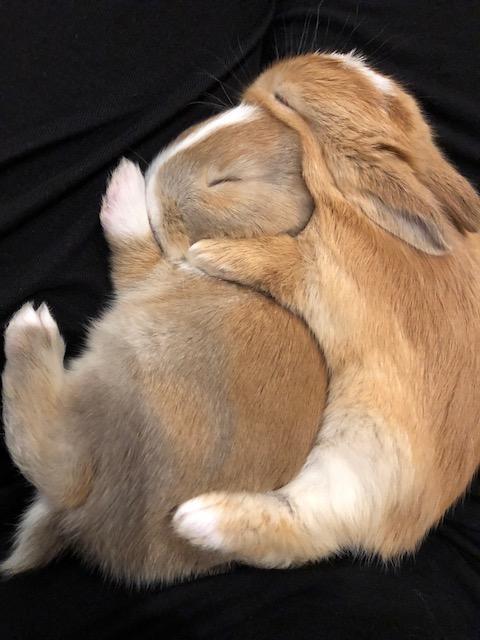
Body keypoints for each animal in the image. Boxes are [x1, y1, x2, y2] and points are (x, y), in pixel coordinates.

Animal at [166, 52, 480, 569]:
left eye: (284, 99)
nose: (256, 83)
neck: (353, 203)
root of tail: (404, 529)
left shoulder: (315, 263)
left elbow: (268, 260)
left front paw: (206, 255)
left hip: (355, 459)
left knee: (306, 530)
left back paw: (198, 519)